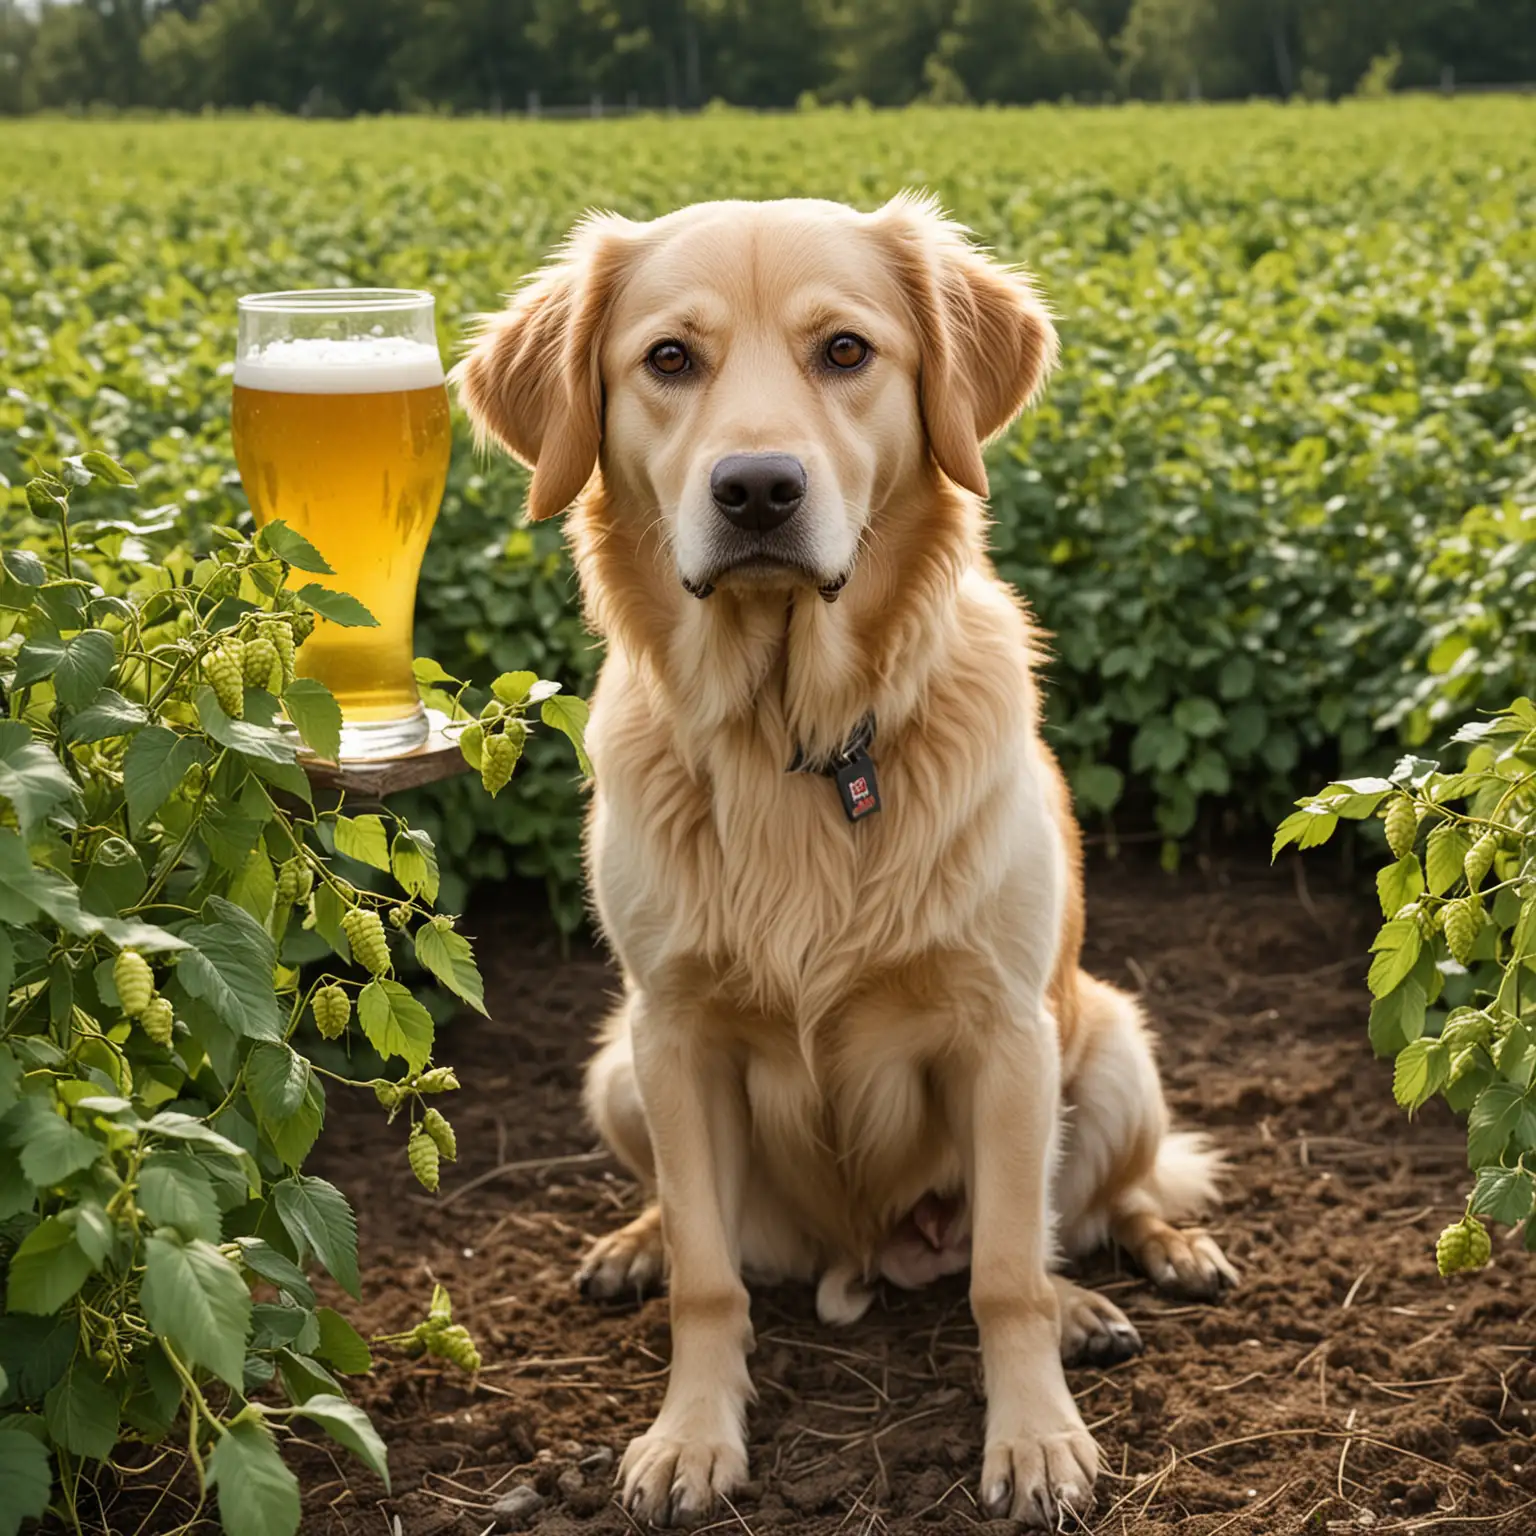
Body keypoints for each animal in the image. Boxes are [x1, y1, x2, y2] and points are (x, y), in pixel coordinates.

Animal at [454, 192, 1234, 1523]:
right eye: (670, 359)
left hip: (1111, 1047)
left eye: (846, 352)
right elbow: (709, 1280)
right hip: (614, 1066)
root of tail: (863, 1255)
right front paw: (691, 1437)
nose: (758, 488)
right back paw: (634, 1243)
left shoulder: (1003, 1033)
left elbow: (1007, 1275)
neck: (792, 737)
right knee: (698, 1222)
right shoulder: (675, 1030)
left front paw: (1035, 1440)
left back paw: (1134, 1277)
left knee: (1084, 1215)